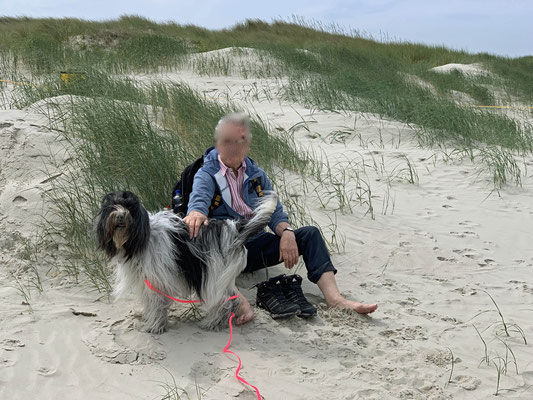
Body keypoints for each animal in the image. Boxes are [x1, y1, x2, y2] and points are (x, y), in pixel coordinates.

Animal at [93, 189, 276, 332]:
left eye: (130, 208)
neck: (141, 238)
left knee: (223, 302)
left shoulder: (157, 280)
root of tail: (234, 228)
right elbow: (150, 302)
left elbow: (156, 304)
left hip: (214, 275)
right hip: (222, 277)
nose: (120, 216)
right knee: (231, 297)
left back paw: (211, 323)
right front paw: (147, 316)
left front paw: (154, 326)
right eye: (113, 206)